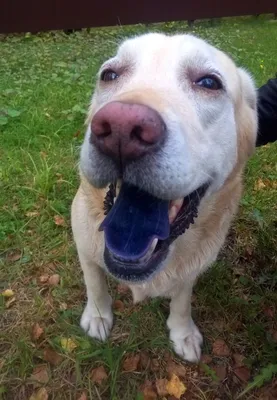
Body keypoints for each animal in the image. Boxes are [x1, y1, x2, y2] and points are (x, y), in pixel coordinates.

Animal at [71, 32, 256, 362]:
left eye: (209, 83)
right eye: (110, 75)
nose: (121, 127)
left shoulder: (191, 270)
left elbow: (182, 298)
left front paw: (182, 332)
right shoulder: (83, 243)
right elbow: (95, 283)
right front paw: (97, 315)